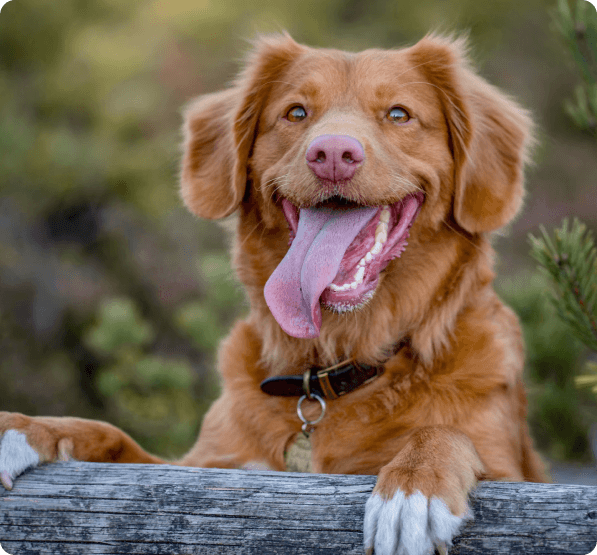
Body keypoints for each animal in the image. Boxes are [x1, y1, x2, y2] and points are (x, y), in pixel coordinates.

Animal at [0, 34, 548, 555]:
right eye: (296, 112)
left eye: (399, 114)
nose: (332, 155)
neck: (330, 371)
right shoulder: (198, 468)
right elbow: (114, 437)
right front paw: (27, 427)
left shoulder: (519, 477)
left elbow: (444, 433)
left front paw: (414, 490)